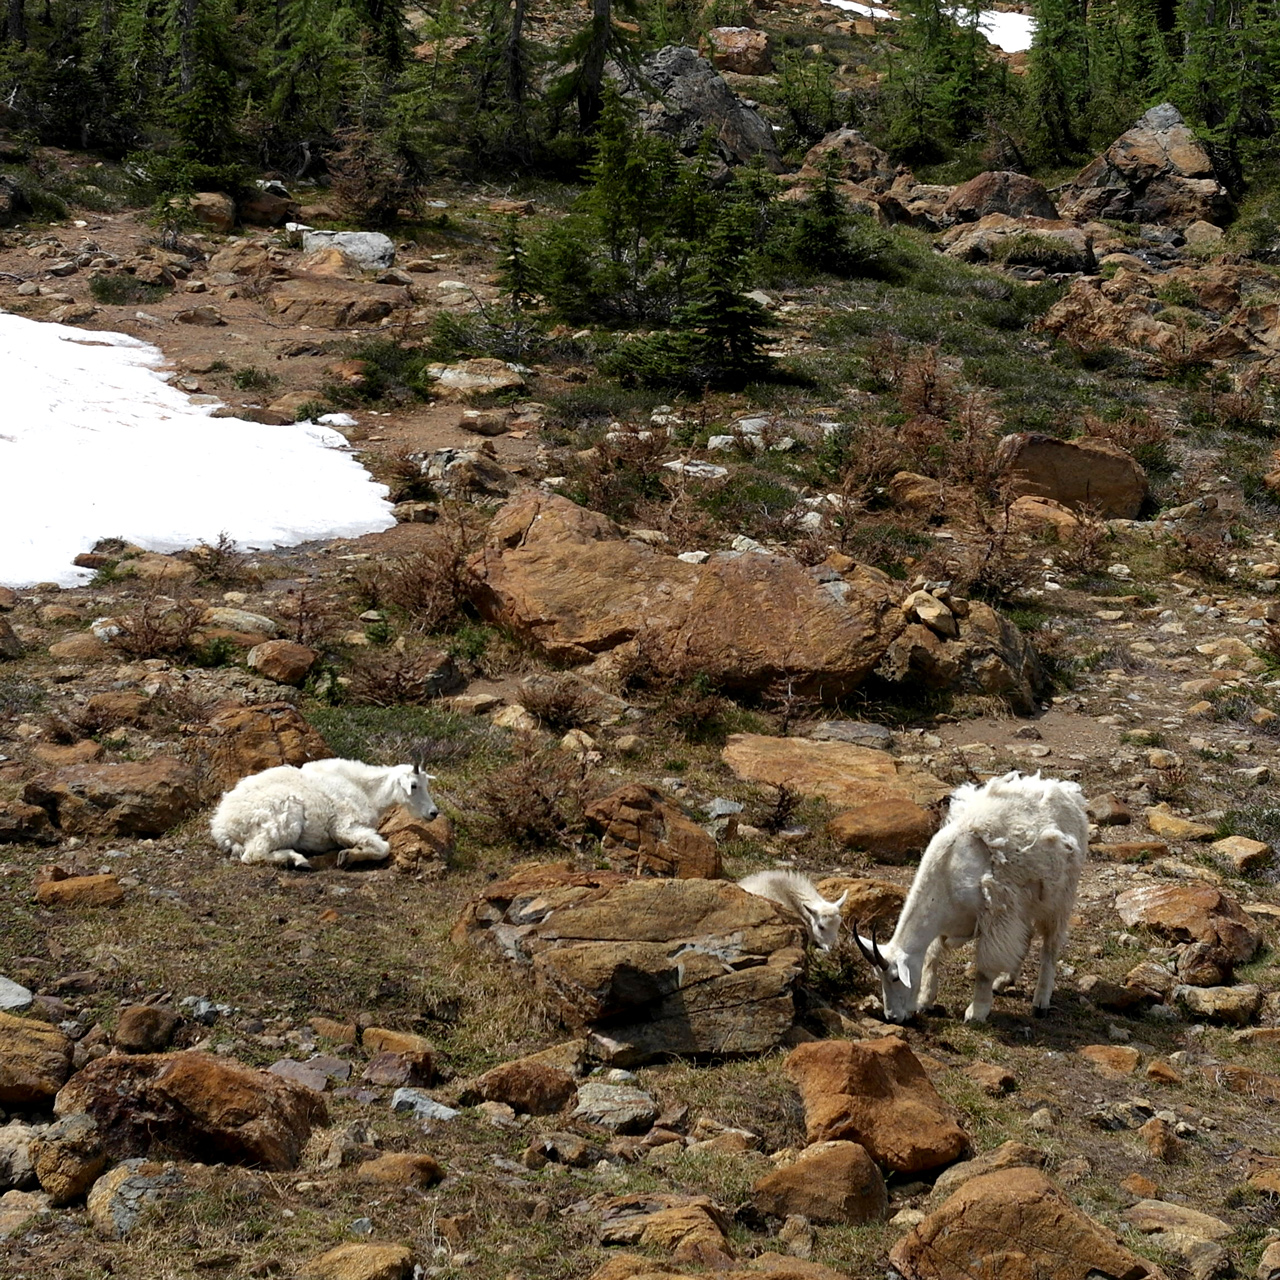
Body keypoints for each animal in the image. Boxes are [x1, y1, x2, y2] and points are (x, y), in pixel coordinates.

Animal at [204, 757, 435, 870]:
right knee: (253, 854)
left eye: (426, 784)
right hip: (284, 817)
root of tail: (222, 827)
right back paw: (296, 860)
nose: (433, 812)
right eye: (413, 785)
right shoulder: (344, 826)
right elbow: (383, 848)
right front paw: (349, 855)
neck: (366, 791)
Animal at [855, 762, 1085, 1024]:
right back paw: (1004, 982)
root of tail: (1069, 794)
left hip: (1059, 898)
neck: (947, 871)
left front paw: (976, 1012)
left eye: (895, 977)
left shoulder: (995, 914)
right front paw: (925, 1001)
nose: (892, 1017)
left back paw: (1040, 1002)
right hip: (1025, 902)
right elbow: (931, 957)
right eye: (878, 976)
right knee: (1026, 936)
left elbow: (984, 968)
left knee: (1050, 946)